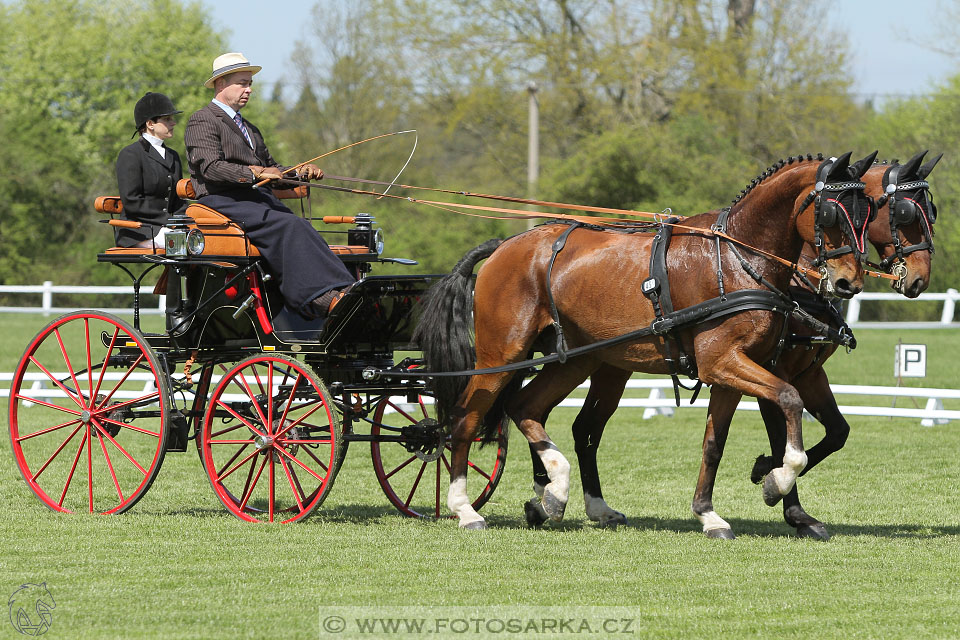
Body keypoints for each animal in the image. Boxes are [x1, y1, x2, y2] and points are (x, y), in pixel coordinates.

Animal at [416, 151, 872, 528]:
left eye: (867, 212)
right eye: (832, 214)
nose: (849, 282)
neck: (737, 259)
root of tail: (505, 245)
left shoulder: (733, 369)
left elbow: (715, 442)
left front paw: (712, 513)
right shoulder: (725, 362)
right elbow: (790, 403)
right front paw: (776, 480)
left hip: (575, 360)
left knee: (527, 407)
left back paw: (554, 493)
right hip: (501, 354)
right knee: (466, 418)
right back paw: (465, 508)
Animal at [520, 152, 940, 536]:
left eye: (929, 212)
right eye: (903, 213)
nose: (918, 279)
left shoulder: (807, 370)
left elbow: (836, 431)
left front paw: (771, 480)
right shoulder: (770, 367)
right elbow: (784, 430)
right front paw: (779, 489)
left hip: (604, 366)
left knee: (571, 424)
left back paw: (552, 495)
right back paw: (547, 492)